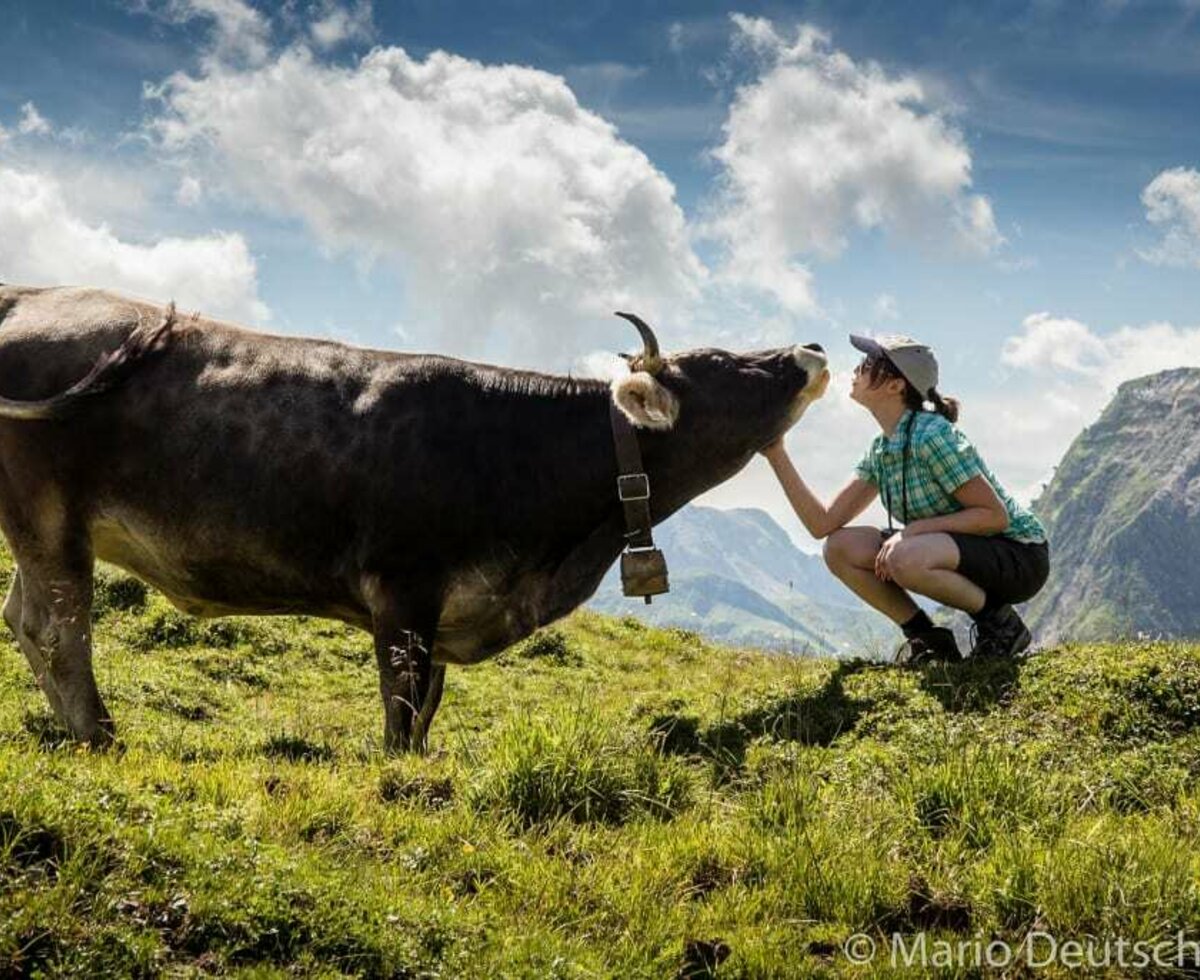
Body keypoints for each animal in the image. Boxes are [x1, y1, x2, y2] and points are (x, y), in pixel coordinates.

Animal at [0, 283, 825, 748]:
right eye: (725, 364)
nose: (812, 348)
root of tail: (31, 292)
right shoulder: (405, 591)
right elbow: (402, 699)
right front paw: (400, 776)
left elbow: (427, 705)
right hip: (49, 515)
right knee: (58, 630)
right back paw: (103, 737)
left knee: (25, 621)